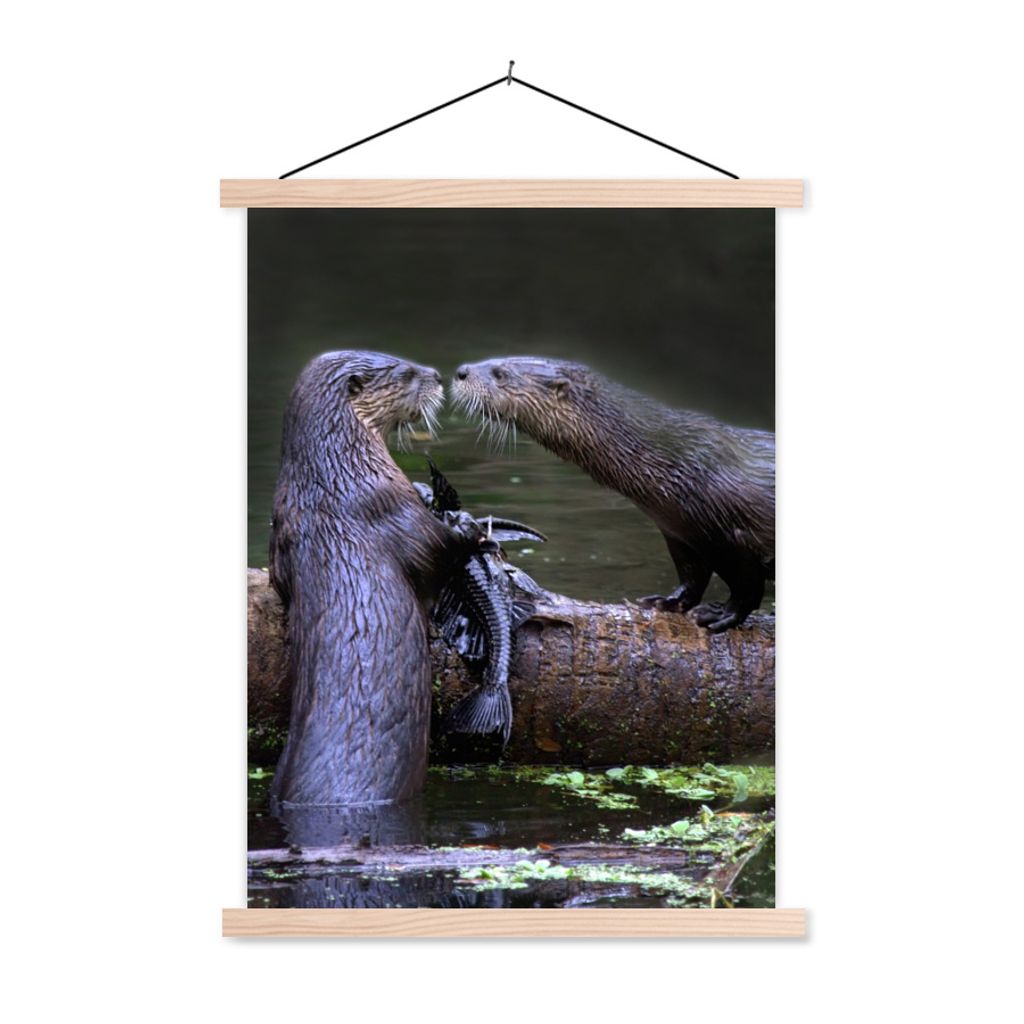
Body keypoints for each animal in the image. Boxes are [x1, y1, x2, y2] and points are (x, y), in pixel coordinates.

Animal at [451, 357, 774, 632]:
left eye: (500, 374)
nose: (461, 371)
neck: (676, 463)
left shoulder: (731, 533)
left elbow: (747, 585)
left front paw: (722, 615)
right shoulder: (678, 531)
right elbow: (691, 575)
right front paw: (666, 602)